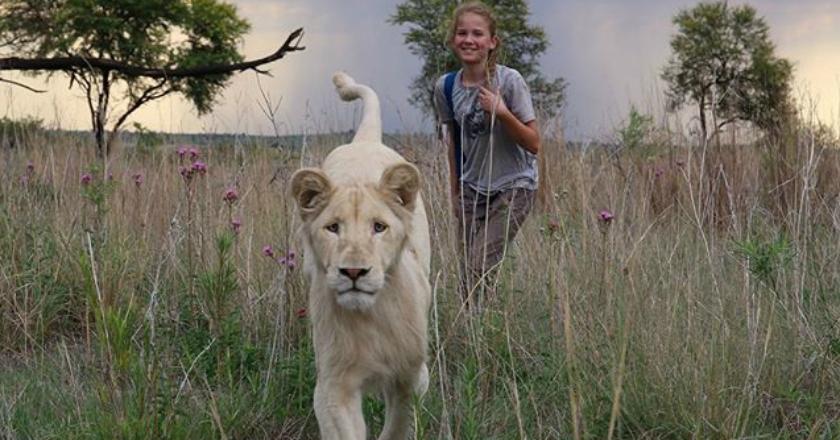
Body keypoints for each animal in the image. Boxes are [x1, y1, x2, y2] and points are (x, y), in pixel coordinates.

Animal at [290, 72, 431, 440]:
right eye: (333, 228)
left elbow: (399, 424)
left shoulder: (410, 377)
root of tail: (364, 140)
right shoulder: (333, 386)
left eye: (379, 227)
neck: (371, 317)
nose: (354, 272)